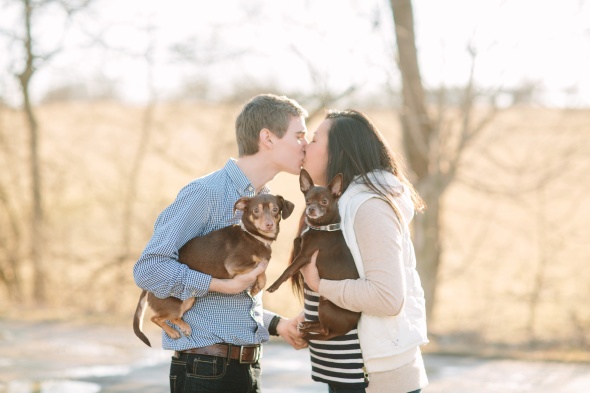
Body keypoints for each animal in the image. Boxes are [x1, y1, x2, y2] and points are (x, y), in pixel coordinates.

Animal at [132, 194, 294, 346]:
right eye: (256, 210)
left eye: (275, 209)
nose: (269, 225)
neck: (254, 236)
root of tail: (146, 289)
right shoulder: (234, 264)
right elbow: (260, 268)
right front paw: (257, 287)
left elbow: (262, 270)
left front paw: (256, 287)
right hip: (174, 305)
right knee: (156, 318)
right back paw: (172, 332)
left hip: (188, 299)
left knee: (172, 317)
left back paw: (183, 326)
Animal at [268, 168, 360, 340]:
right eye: (307, 200)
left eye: (324, 201)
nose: (310, 209)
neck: (324, 227)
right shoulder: (303, 247)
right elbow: (297, 239)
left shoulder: (305, 256)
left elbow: (288, 270)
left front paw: (273, 286)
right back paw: (306, 325)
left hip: (325, 304)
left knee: (325, 331)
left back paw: (307, 332)